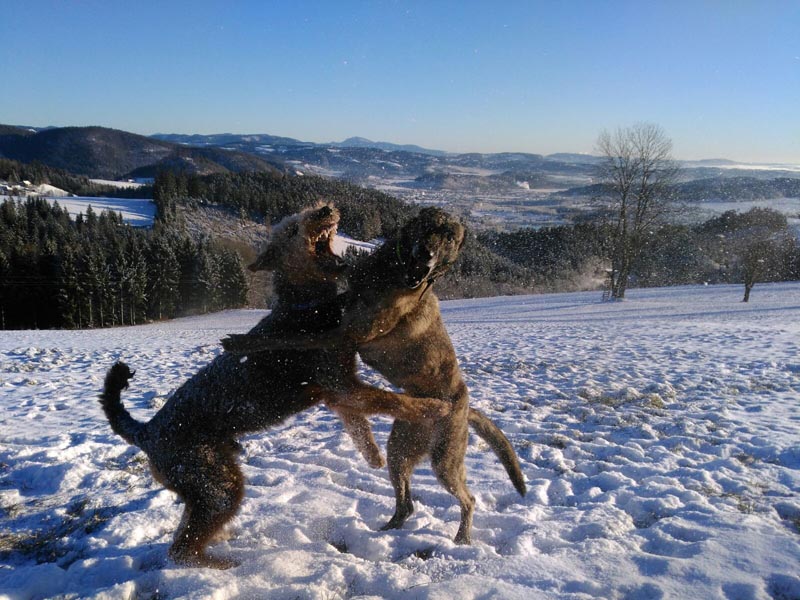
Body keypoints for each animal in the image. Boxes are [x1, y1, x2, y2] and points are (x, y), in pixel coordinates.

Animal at [99, 205, 450, 568]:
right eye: (292, 230)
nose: (326, 209)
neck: (306, 305)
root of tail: (145, 431)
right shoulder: (342, 385)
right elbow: (392, 401)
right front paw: (435, 407)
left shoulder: (338, 392)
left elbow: (359, 424)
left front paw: (374, 456)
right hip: (217, 484)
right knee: (182, 549)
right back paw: (225, 563)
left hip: (214, 477)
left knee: (187, 535)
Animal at [223, 209, 524, 548]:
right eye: (428, 226)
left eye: (450, 238)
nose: (427, 255)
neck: (394, 274)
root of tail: (465, 407)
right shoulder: (346, 310)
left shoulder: (343, 334)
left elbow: (288, 338)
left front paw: (242, 342)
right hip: (399, 449)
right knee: (406, 503)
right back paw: (388, 529)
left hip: (444, 461)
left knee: (467, 499)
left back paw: (461, 537)